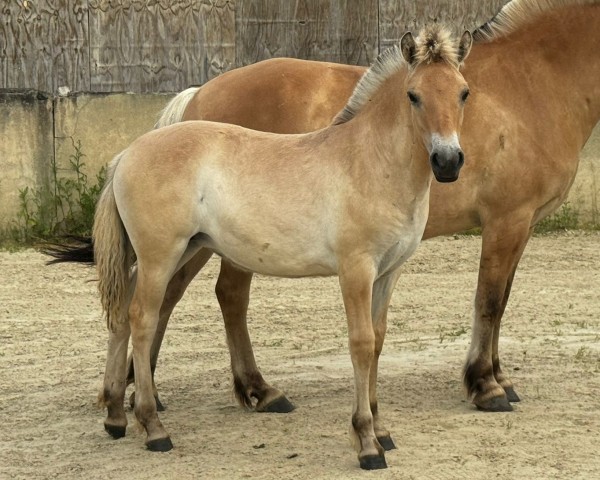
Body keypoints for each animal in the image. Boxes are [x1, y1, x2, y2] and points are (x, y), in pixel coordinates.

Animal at [90, 27, 474, 468]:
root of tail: (127, 154)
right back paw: (153, 427)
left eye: (463, 92)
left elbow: (377, 341)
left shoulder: (389, 272)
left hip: (177, 251)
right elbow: (361, 344)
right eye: (413, 95)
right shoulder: (356, 270)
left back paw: (116, 416)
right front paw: (366, 441)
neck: (370, 162)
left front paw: (382, 430)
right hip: (161, 256)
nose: (448, 161)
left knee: (122, 312)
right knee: (142, 318)